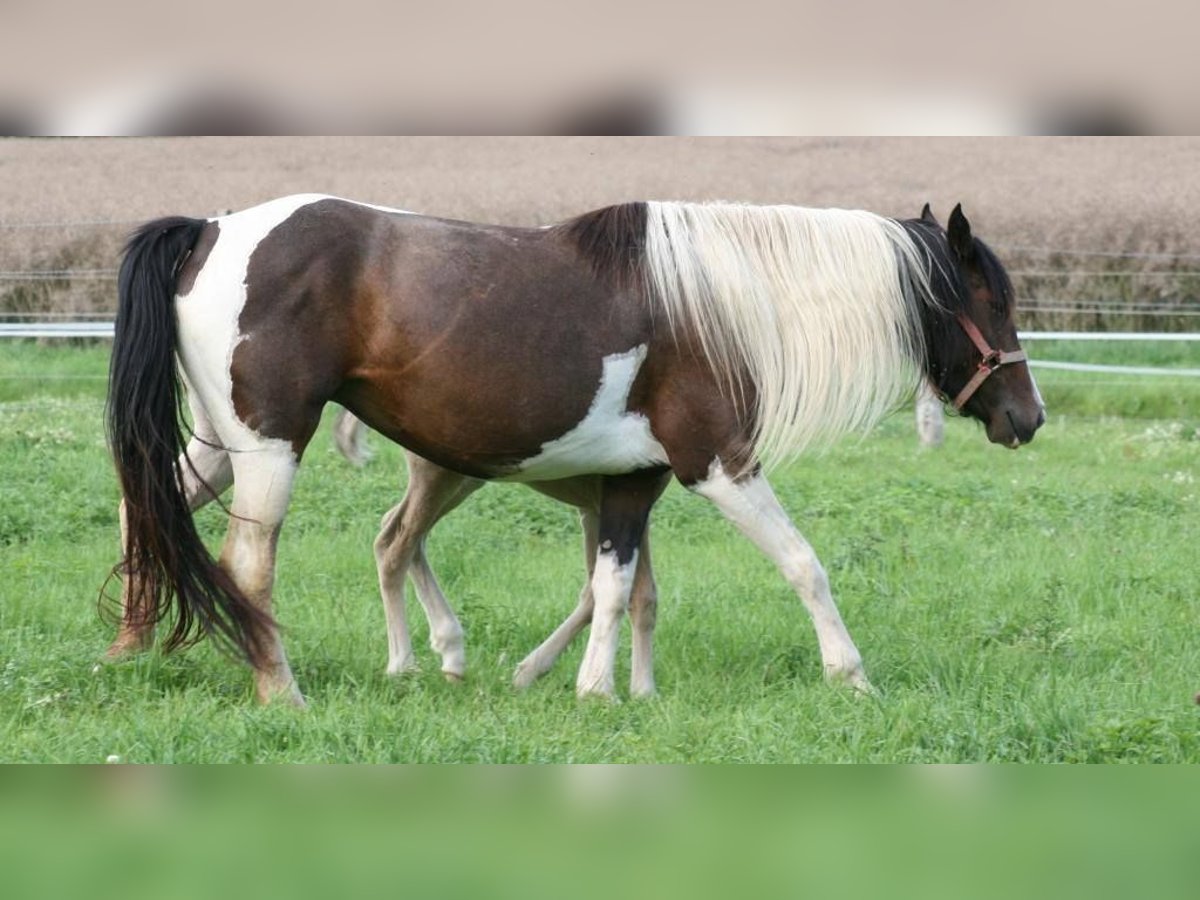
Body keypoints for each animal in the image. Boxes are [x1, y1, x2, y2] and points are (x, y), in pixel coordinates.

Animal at [105, 195, 1041, 705]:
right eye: (991, 301)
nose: (1026, 418)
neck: (717, 302)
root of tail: (211, 230)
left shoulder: (632, 482)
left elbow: (619, 588)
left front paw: (609, 688)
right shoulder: (719, 467)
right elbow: (804, 565)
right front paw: (850, 675)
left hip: (222, 447)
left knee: (143, 507)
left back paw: (128, 647)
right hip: (271, 450)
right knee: (251, 565)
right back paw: (283, 690)